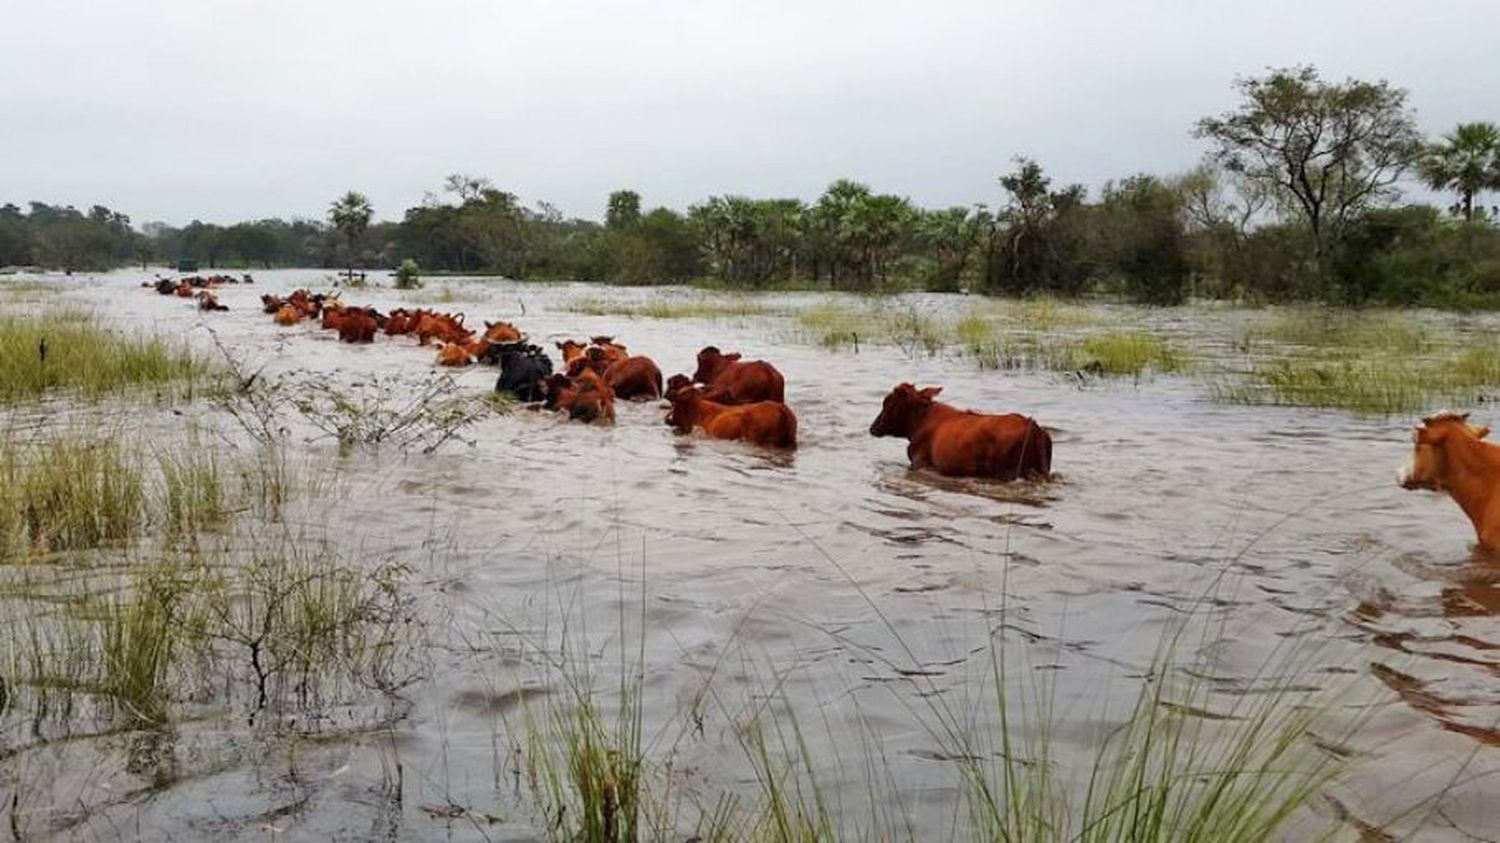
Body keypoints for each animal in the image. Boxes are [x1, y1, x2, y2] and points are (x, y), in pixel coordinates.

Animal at [870, 382, 1056, 480]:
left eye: (887, 403)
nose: (873, 428)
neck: (919, 423)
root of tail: (1034, 427)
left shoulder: (919, 462)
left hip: (1008, 472)